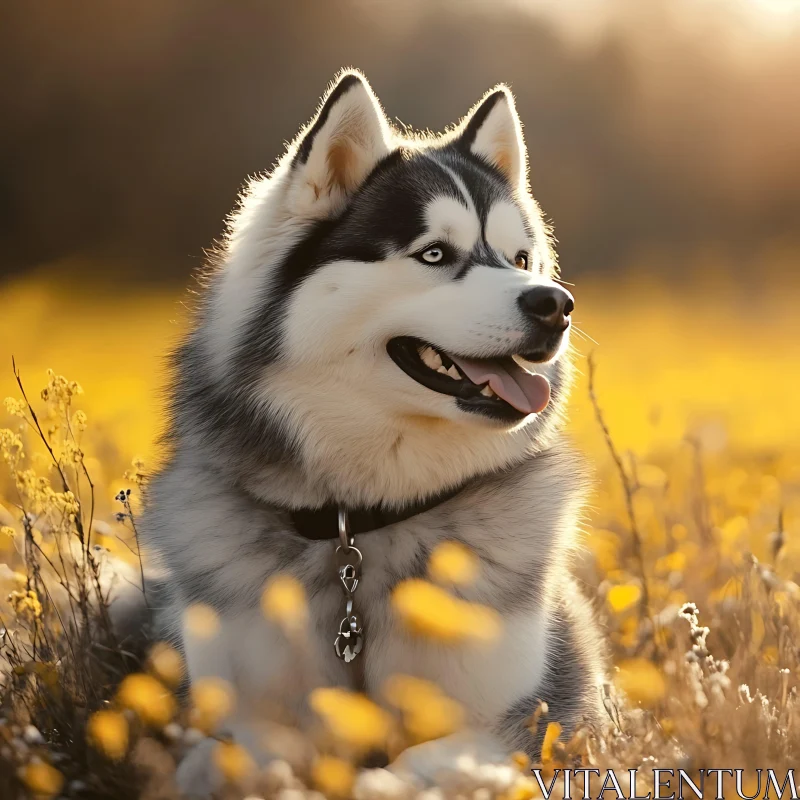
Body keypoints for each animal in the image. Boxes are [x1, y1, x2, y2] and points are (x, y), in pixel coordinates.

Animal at [141, 72, 604, 796]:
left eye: (521, 257)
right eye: (435, 254)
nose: (555, 304)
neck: (359, 522)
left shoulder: (522, 725)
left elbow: (416, 764)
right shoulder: (235, 713)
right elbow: (223, 759)